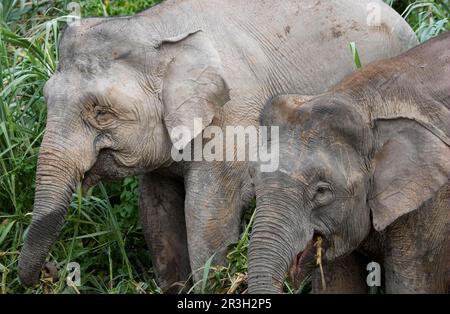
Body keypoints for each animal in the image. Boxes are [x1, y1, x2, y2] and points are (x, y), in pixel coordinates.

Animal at [18, 0, 418, 290]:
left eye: (100, 112)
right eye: (46, 98)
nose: (54, 268)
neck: (157, 30)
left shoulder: (233, 121)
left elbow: (206, 217)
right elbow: (157, 213)